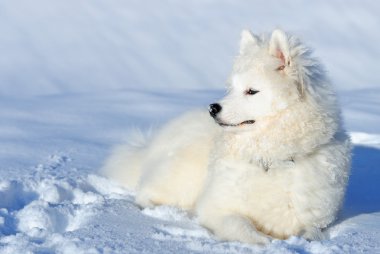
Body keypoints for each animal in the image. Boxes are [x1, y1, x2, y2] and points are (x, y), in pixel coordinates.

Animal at [102, 28, 352, 244]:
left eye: (251, 91)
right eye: (231, 88)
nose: (212, 108)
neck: (272, 158)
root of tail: (153, 143)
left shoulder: (316, 219)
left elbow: (311, 233)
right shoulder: (218, 207)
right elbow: (242, 226)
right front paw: (265, 242)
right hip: (183, 176)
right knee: (147, 192)